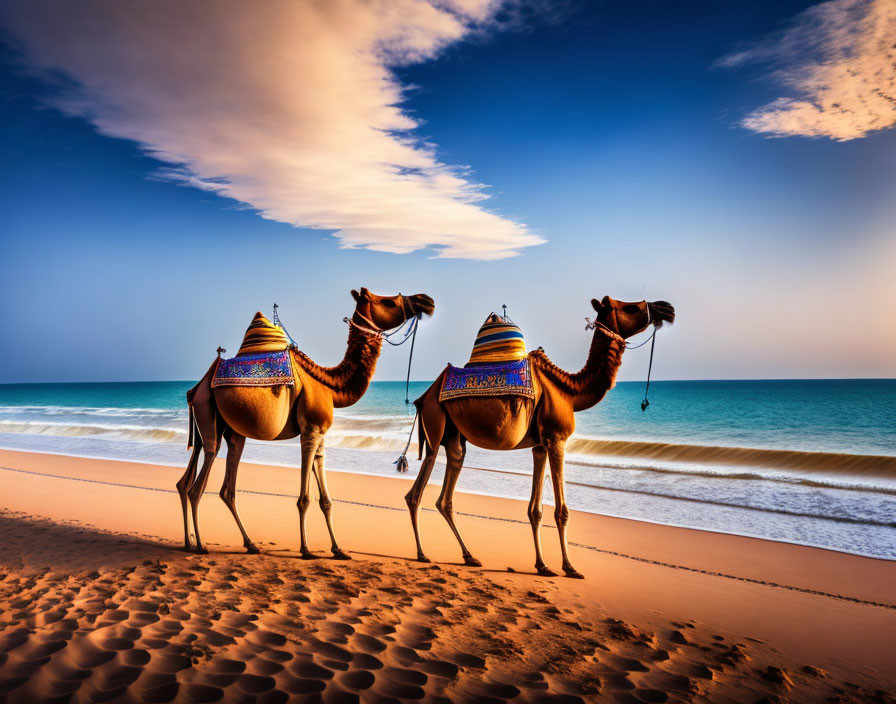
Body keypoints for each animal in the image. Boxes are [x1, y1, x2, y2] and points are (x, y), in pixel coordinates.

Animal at [178, 288, 434, 560]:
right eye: (389, 300)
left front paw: (338, 549)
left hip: (229, 429)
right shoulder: (310, 431)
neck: (331, 386)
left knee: (216, 487)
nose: (425, 300)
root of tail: (197, 388)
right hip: (208, 416)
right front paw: (306, 549)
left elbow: (325, 499)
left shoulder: (321, 434)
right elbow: (304, 498)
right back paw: (201, 545)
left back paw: (235, 543)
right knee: (198, 483)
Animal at [404, 296, 672, 576]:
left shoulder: (540, 445)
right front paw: (570, 567)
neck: (571, 392)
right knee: (416, 491)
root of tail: (425, 396)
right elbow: (561, 511)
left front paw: (542, 565)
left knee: (447, 492)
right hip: (435, 421)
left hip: (454, 436)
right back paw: (422, 553)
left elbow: (536, 510)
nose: (665, 308)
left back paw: (470, 556)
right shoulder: (557, 439)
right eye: (631, 306)